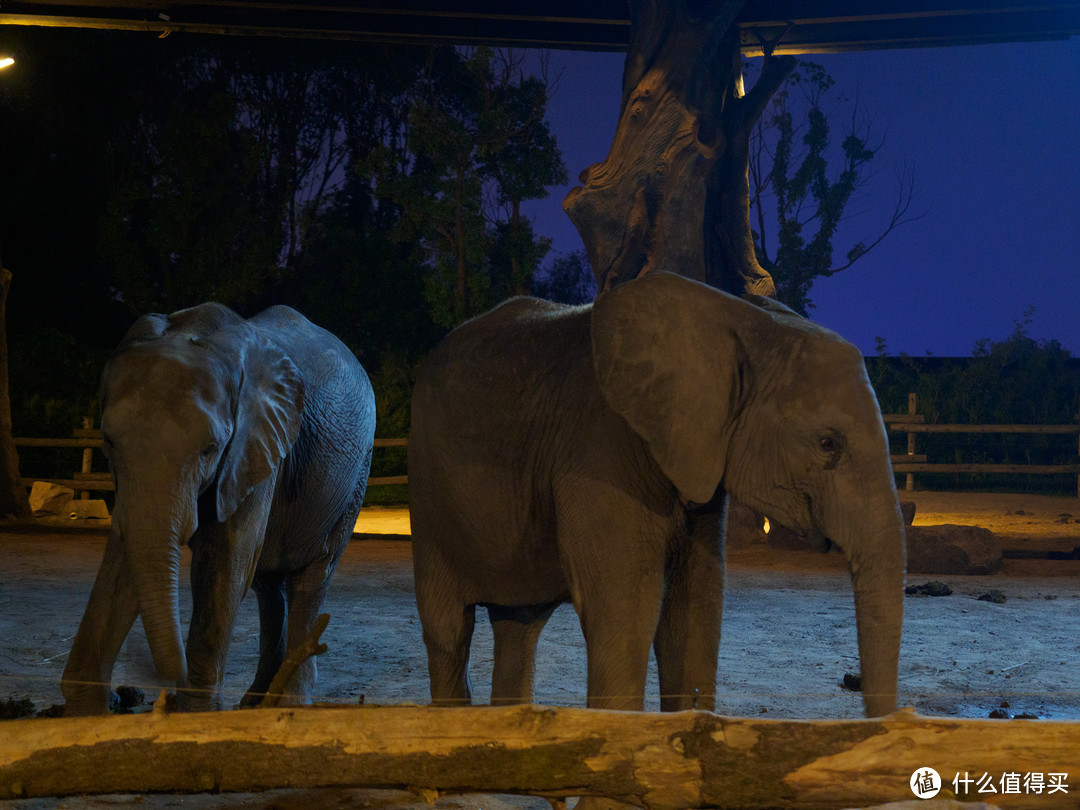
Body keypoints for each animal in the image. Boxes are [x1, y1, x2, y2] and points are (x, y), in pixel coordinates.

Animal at [63, 302, 378, 712]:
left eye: (210, 449)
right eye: (109, 442)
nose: (127, 693)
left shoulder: (256, 447)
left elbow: (224, 558)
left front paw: (194, 713)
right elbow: (126, 549)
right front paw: (86, 710)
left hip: (354, 478)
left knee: (311, 578)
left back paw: (287, 702)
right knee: (268, 586)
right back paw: (255, 703)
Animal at [408, 271, 907, 717]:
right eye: (828, 444)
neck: (739, 320)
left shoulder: (698, 460)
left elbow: (695, 607)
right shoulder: (598, 451)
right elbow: (625, 610)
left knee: (519, 626)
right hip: (429, 494)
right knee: (448, 630)